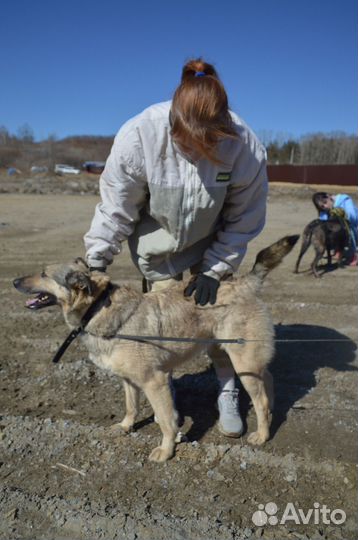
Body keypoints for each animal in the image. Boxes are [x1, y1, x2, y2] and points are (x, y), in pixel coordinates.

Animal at [13, 234, 300, 462]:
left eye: (43, 274)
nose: (14, 281)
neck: (97, 308)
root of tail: (244, 282)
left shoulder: (154, 381)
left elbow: (166, 421)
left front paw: (166, 450)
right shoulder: (129, 380)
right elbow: (131, 406)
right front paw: (126, 426)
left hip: (242, 362)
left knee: (260, 399)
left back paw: (261, 434)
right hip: (233, 354)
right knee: (268, 380)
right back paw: (271, 413)